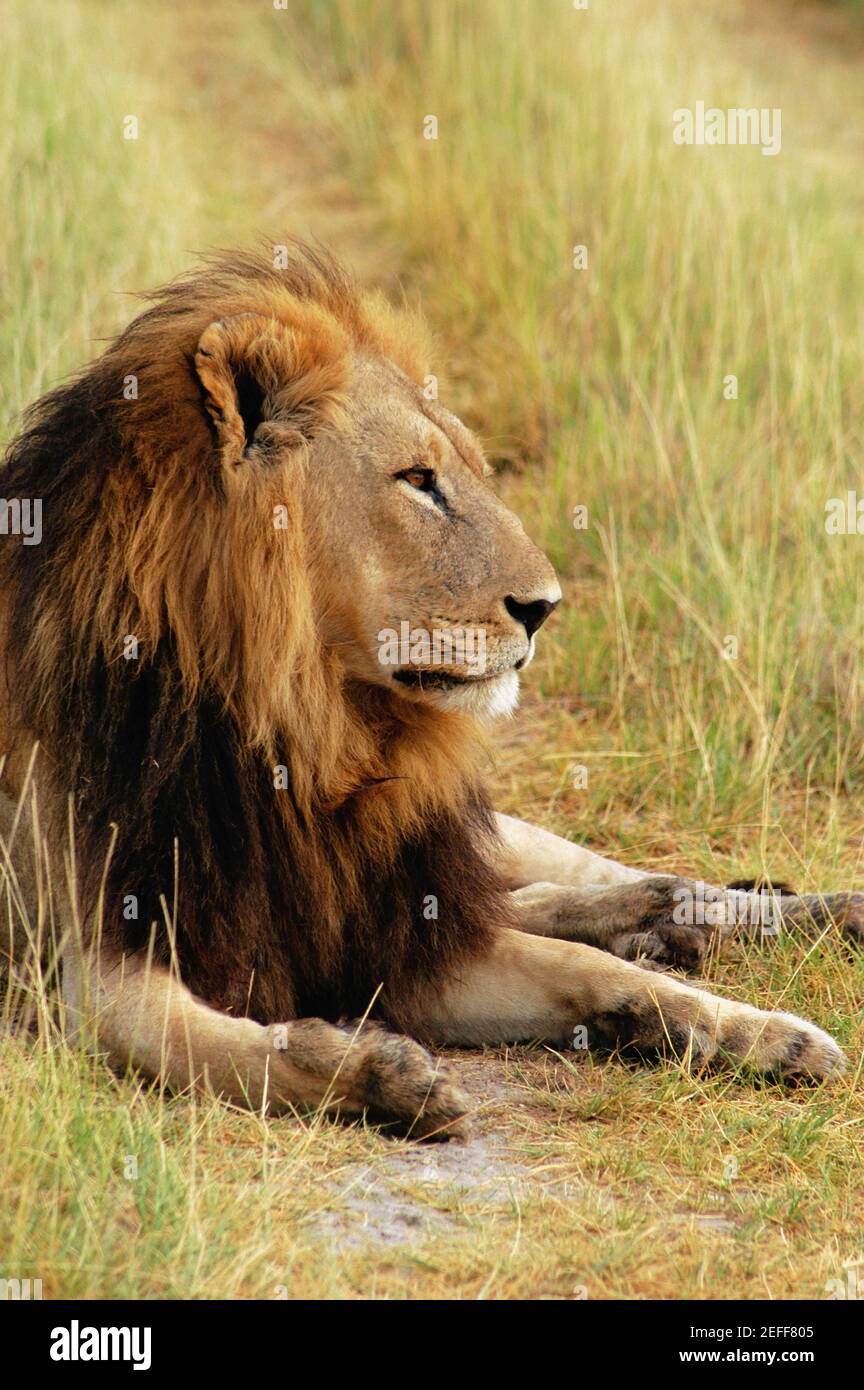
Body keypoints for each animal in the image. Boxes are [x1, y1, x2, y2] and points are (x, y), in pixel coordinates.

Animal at [0, 247, 861, 1139]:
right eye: (417, 479)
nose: (545, 607)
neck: (307, 731)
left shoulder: (408, 932)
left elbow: (587, 970)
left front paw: (764, 1035)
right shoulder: (95, 963)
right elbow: (224, 1048)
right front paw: (383, 1073)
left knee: (589, 880)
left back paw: (784, 912)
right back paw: (662, 924)